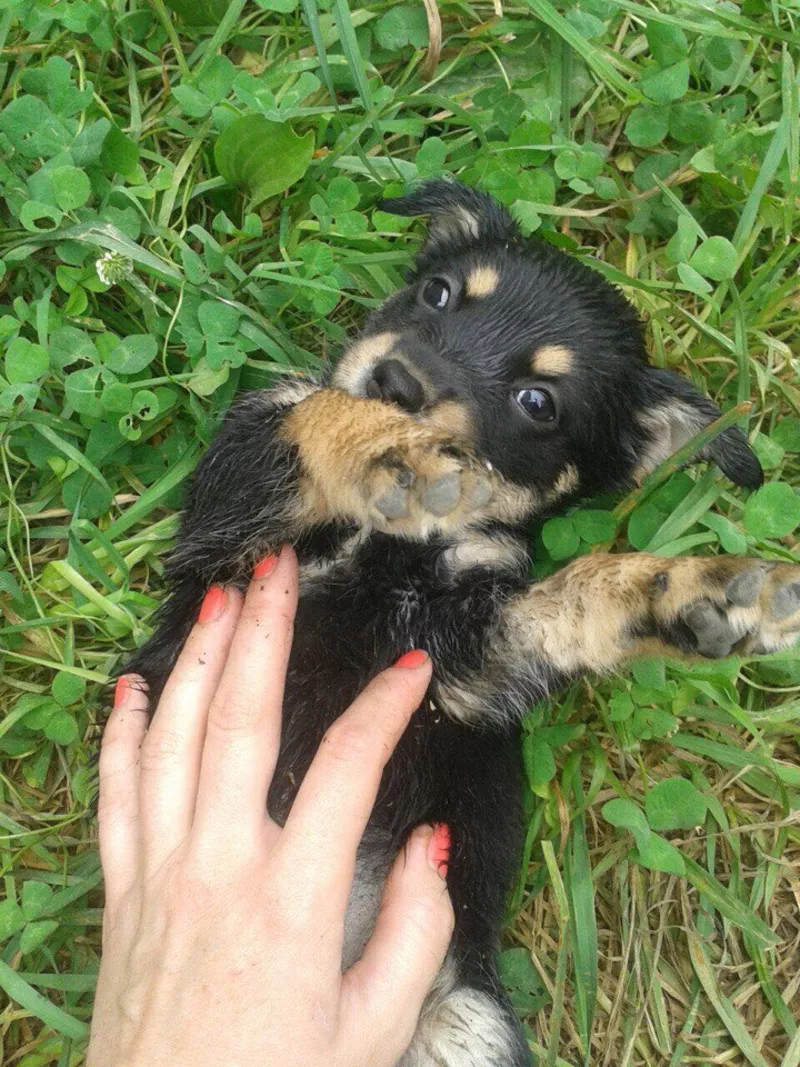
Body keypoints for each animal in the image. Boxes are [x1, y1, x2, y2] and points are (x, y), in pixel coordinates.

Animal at [126, 179, 800, 1062]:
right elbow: (315, 415)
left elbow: (581, 590)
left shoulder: (468, 669)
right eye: (439, 294)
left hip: (466, 1017)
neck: (403, 542)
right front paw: (395, 452)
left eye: (538, 402)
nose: (398, 380)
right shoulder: (234, 509)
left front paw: (700, 593)